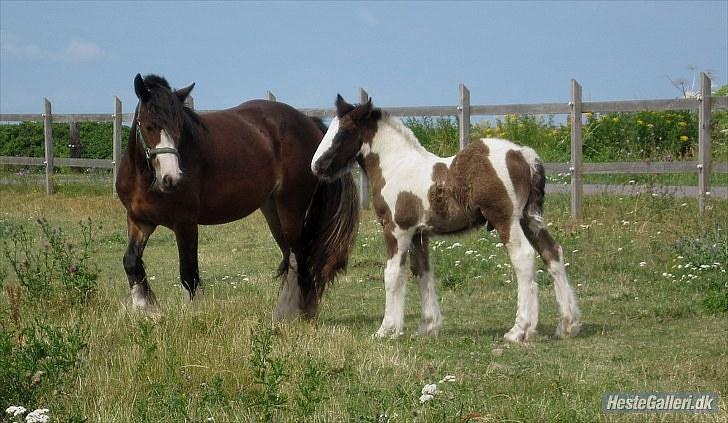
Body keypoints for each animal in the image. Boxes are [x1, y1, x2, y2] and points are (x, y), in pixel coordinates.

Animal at [114, 74, 362, 320]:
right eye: (149, 126)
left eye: (179, 128)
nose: (171, 178)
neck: (146, 178)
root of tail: (308, 122)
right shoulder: (139, 221)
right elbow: (131, 261)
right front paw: (145, 308)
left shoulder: (185, 223)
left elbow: (189, 272)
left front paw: (195, 315)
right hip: (273, 210)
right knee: (290, 255)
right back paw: (283, 314)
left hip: (292, 207)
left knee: (301, 255)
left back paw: (300, 313)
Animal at [310, 94, 584, 342]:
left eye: (343, 132)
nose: (316, 166)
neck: (396, 165)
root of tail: (524, 155)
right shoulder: (419, 234)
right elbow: (422, 272)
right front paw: (428, 327)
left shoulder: (397, 229)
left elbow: (392, 274)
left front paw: (387, 330)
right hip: (530, 218)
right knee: (552, 252)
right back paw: (567, 325)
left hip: (506, 219)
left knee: (524, 258)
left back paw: (519, 330)